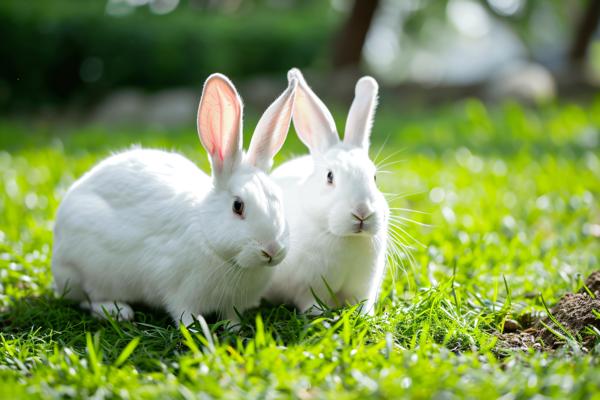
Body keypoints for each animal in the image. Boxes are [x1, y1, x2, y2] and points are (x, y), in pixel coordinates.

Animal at [52, 73, 298, 326]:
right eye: (237, 206)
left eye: (278, 199)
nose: (272, 250)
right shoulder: (180, 292)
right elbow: (183, 314)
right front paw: (196, 329)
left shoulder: (234, 303)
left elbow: (232, 316)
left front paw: (233, 327)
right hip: (83, 271)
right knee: (87, 299)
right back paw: (117, 311)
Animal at [264, 69, 390, 316]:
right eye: (330, 176)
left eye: (374, 178)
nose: (362, 212)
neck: (344, 237)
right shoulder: (309, 288)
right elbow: (312, 305)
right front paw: (320, 318)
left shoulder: (363, 288)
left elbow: (362, 305)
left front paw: (367, 317)